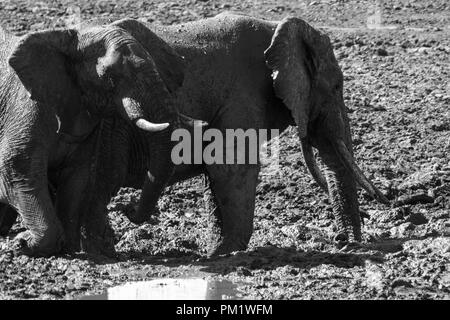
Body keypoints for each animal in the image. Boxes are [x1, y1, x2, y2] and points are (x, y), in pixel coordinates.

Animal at [0, 18, 192, 256]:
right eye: (110, 77)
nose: (128, 209)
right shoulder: (28, 108)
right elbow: (18, 167)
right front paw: (22, 244)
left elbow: (78, 175)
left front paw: (70, 249)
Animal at [127, 13, 390, 258]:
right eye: (336, 86)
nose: (343, 241)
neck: (275, 31)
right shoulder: (243, 95)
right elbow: (230, 166)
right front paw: (225, 253)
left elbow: (215, 170)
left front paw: (216, 251)